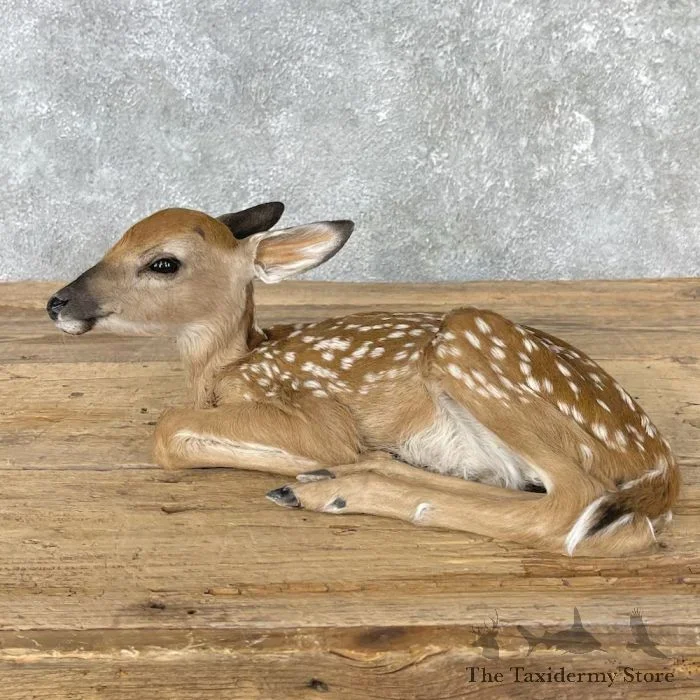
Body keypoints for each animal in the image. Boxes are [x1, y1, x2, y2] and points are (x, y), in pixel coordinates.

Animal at [46, 201, 679, 556]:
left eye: (163, 263)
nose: (57, 302)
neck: (228, 366)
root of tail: (661, 470)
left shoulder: (309, 407)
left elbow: (168, 431)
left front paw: (313, 462)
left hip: (469, 345)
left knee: (580, 510)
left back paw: (325, 488)